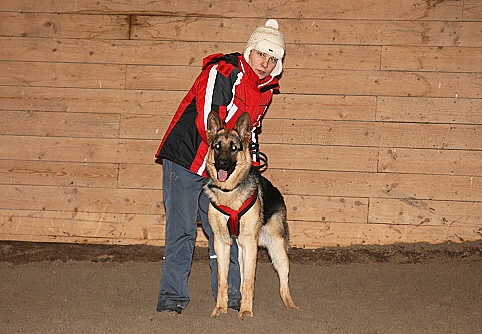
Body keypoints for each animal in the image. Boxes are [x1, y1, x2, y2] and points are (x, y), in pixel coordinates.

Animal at [202, 112, 298, 318]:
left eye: (233, 148)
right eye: (217, 146)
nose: (221, 164)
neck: (229, 191)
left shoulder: (249, 244)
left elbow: (248, 282)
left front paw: (246, 311)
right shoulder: (222, 243)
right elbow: (223, 281)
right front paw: (220, 308)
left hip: (277, 251)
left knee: (284, 284)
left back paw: (291, 307)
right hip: (242, 251)